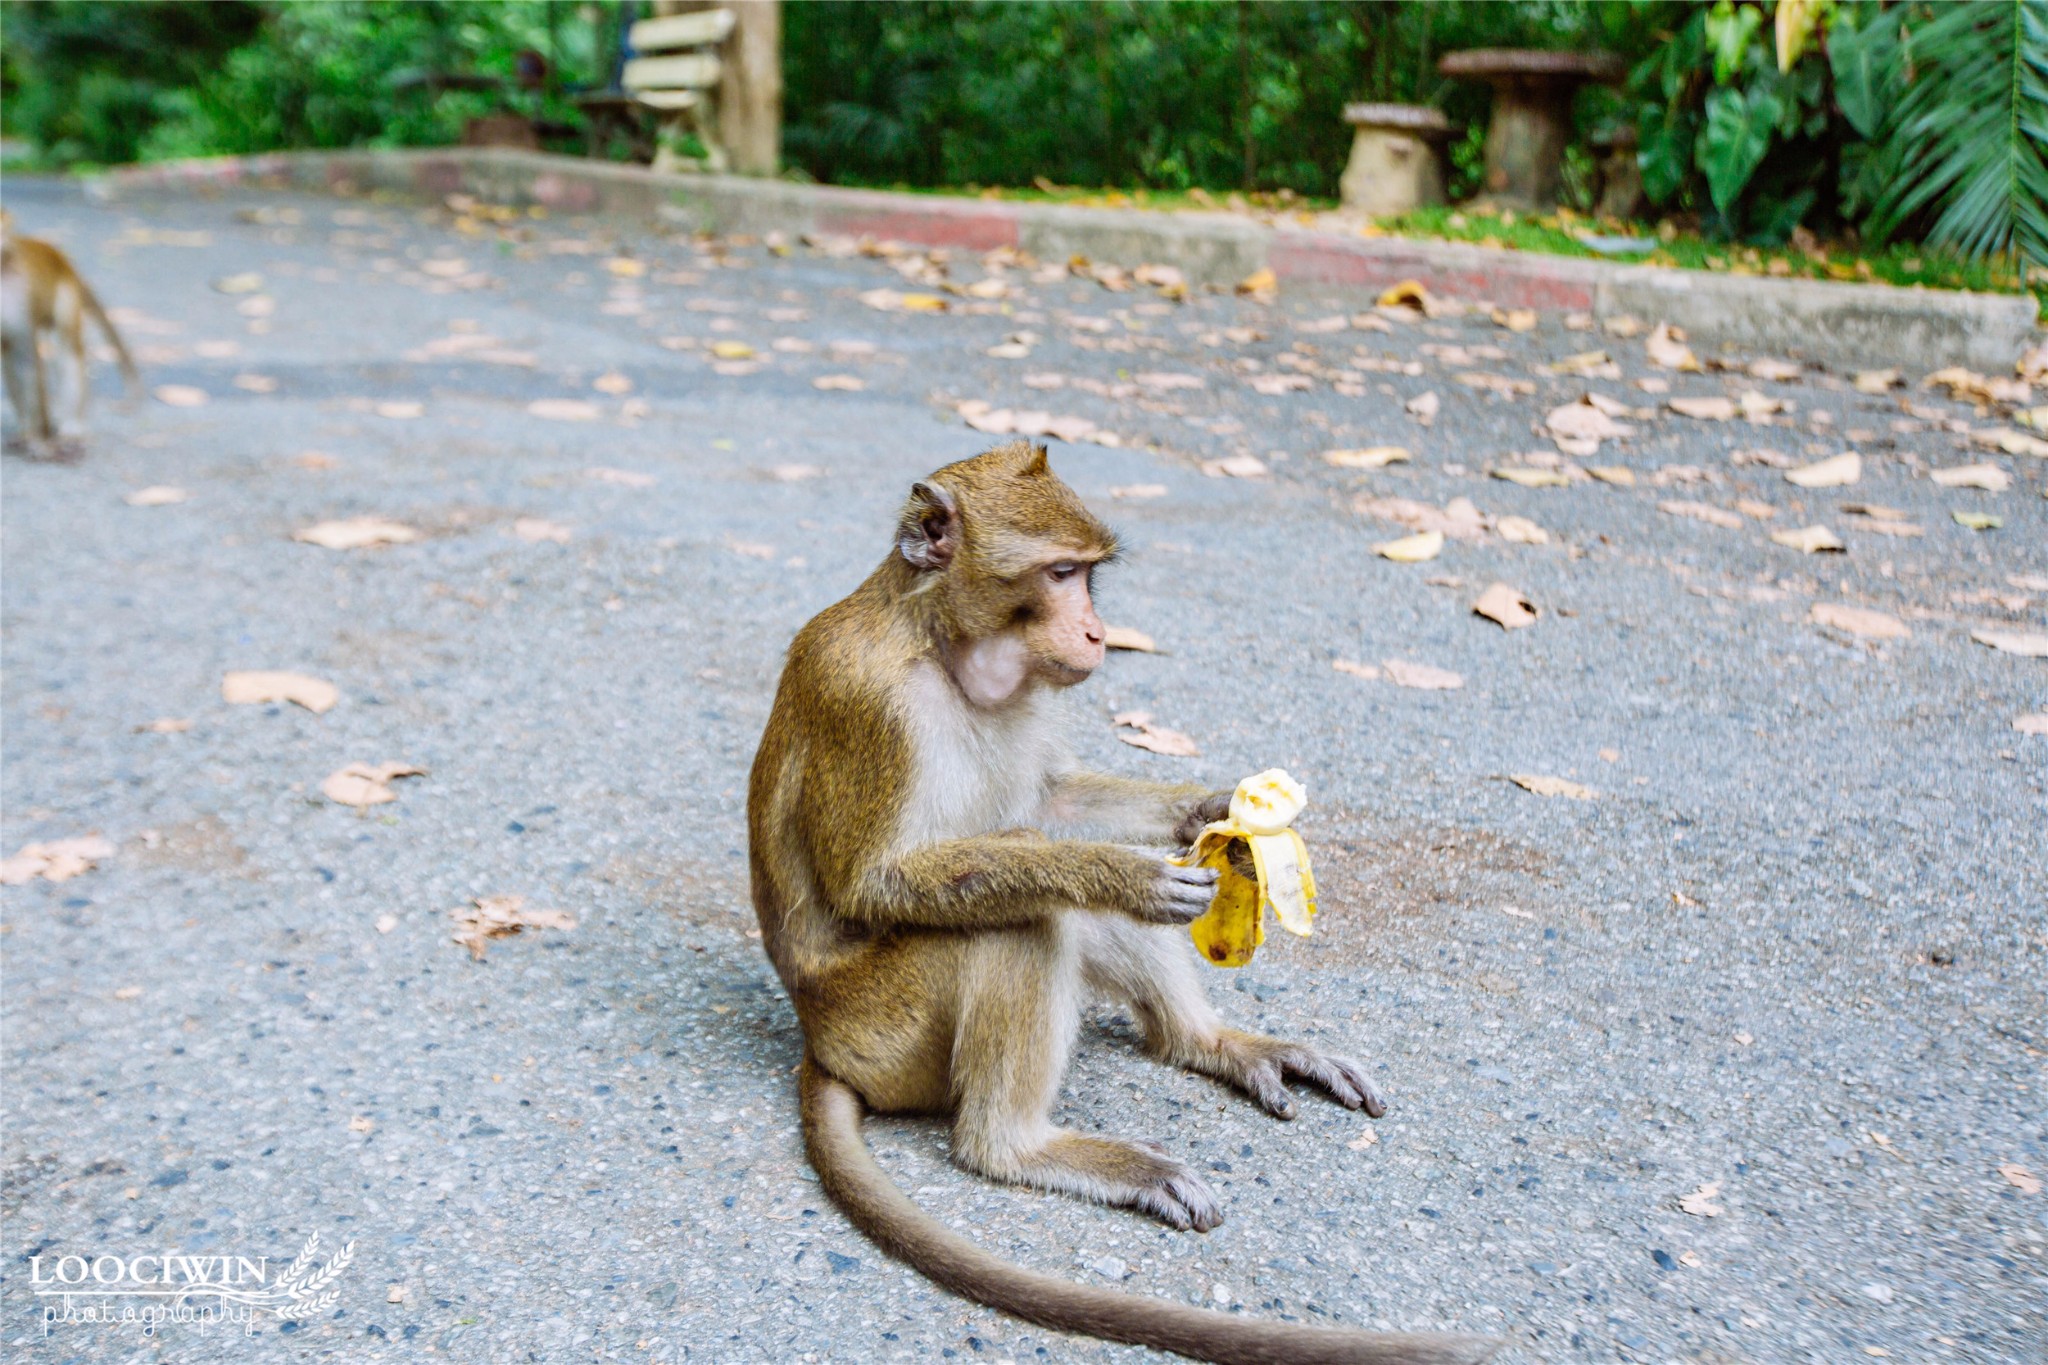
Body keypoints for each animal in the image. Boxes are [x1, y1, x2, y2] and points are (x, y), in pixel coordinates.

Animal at [1, 208, 139, 454]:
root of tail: (61, 257)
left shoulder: (19, 298)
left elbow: (26, 361)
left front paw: (38, 440)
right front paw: (32, 436)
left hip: (66, 292)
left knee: (66, 351)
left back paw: (70, 430)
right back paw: (24, 430)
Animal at [749, 444, 1490, 1358]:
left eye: (1090, 577)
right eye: (1060, 573)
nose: (1098, 632)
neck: (939, 646)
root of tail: (821, 1042)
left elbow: (1055, 800)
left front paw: (1216, 812)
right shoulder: (869, 703)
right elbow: (875, 881)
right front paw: (1117, 872)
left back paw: (1212, 1044)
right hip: (886, 1030)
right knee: (1026, 916)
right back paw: (1022, 1147)